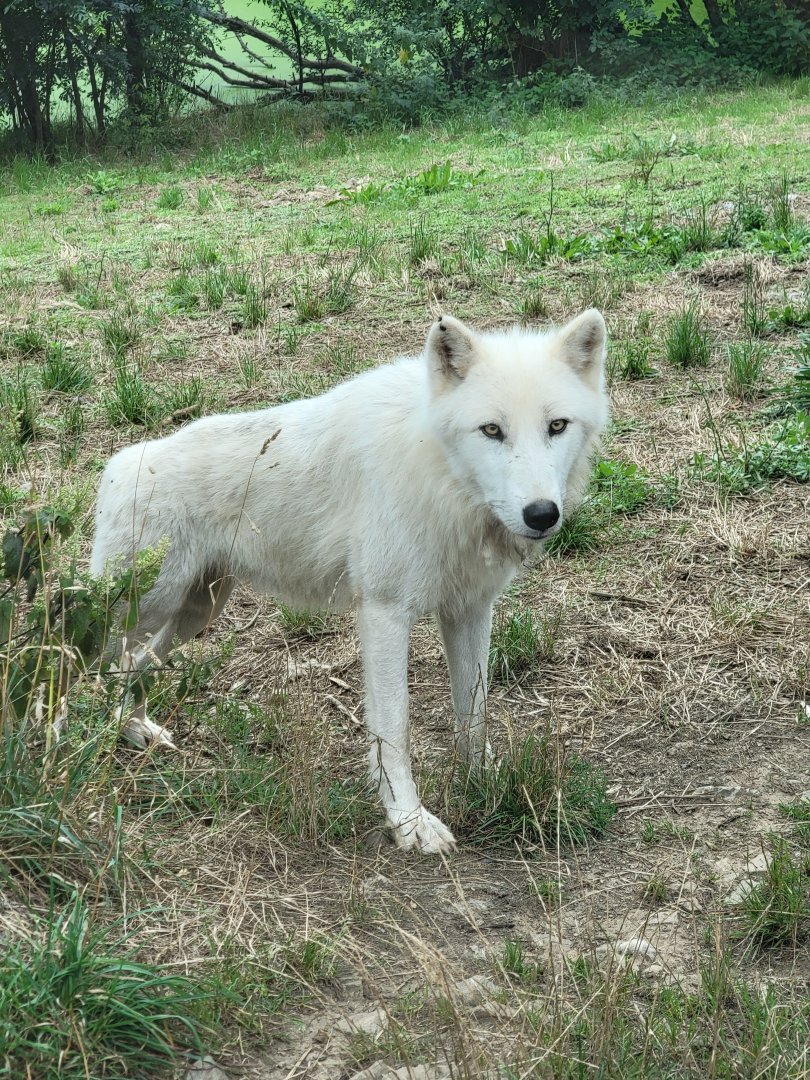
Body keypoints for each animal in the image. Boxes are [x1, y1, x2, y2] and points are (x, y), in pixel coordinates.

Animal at [91, 309, 609, 853]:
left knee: (131, 664)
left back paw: (133, 730)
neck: (443, 476)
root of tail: (119, 464)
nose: (542, 514)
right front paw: (409, 821)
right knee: (88, 657)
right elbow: (394, 729)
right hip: (147, 606)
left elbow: (474, 711)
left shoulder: (469, 608)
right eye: (492, 430)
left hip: (196, 612)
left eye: (557, 426)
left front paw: (483, 780)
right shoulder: (384, 612)